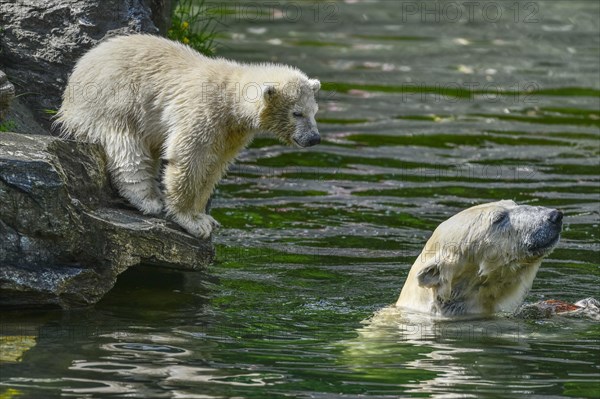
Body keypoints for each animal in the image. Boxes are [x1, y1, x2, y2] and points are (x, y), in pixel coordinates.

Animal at [55, 34, 318, 238]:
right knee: (127, 148)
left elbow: (214, 166)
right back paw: (148, 199)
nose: (314, 138)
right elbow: (188, 158)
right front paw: (191, 221)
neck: (229, 98)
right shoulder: (202, 112)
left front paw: (205, 218)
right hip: (115, 101)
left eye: (314, 112)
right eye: (297, 113)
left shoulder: (230, 133)